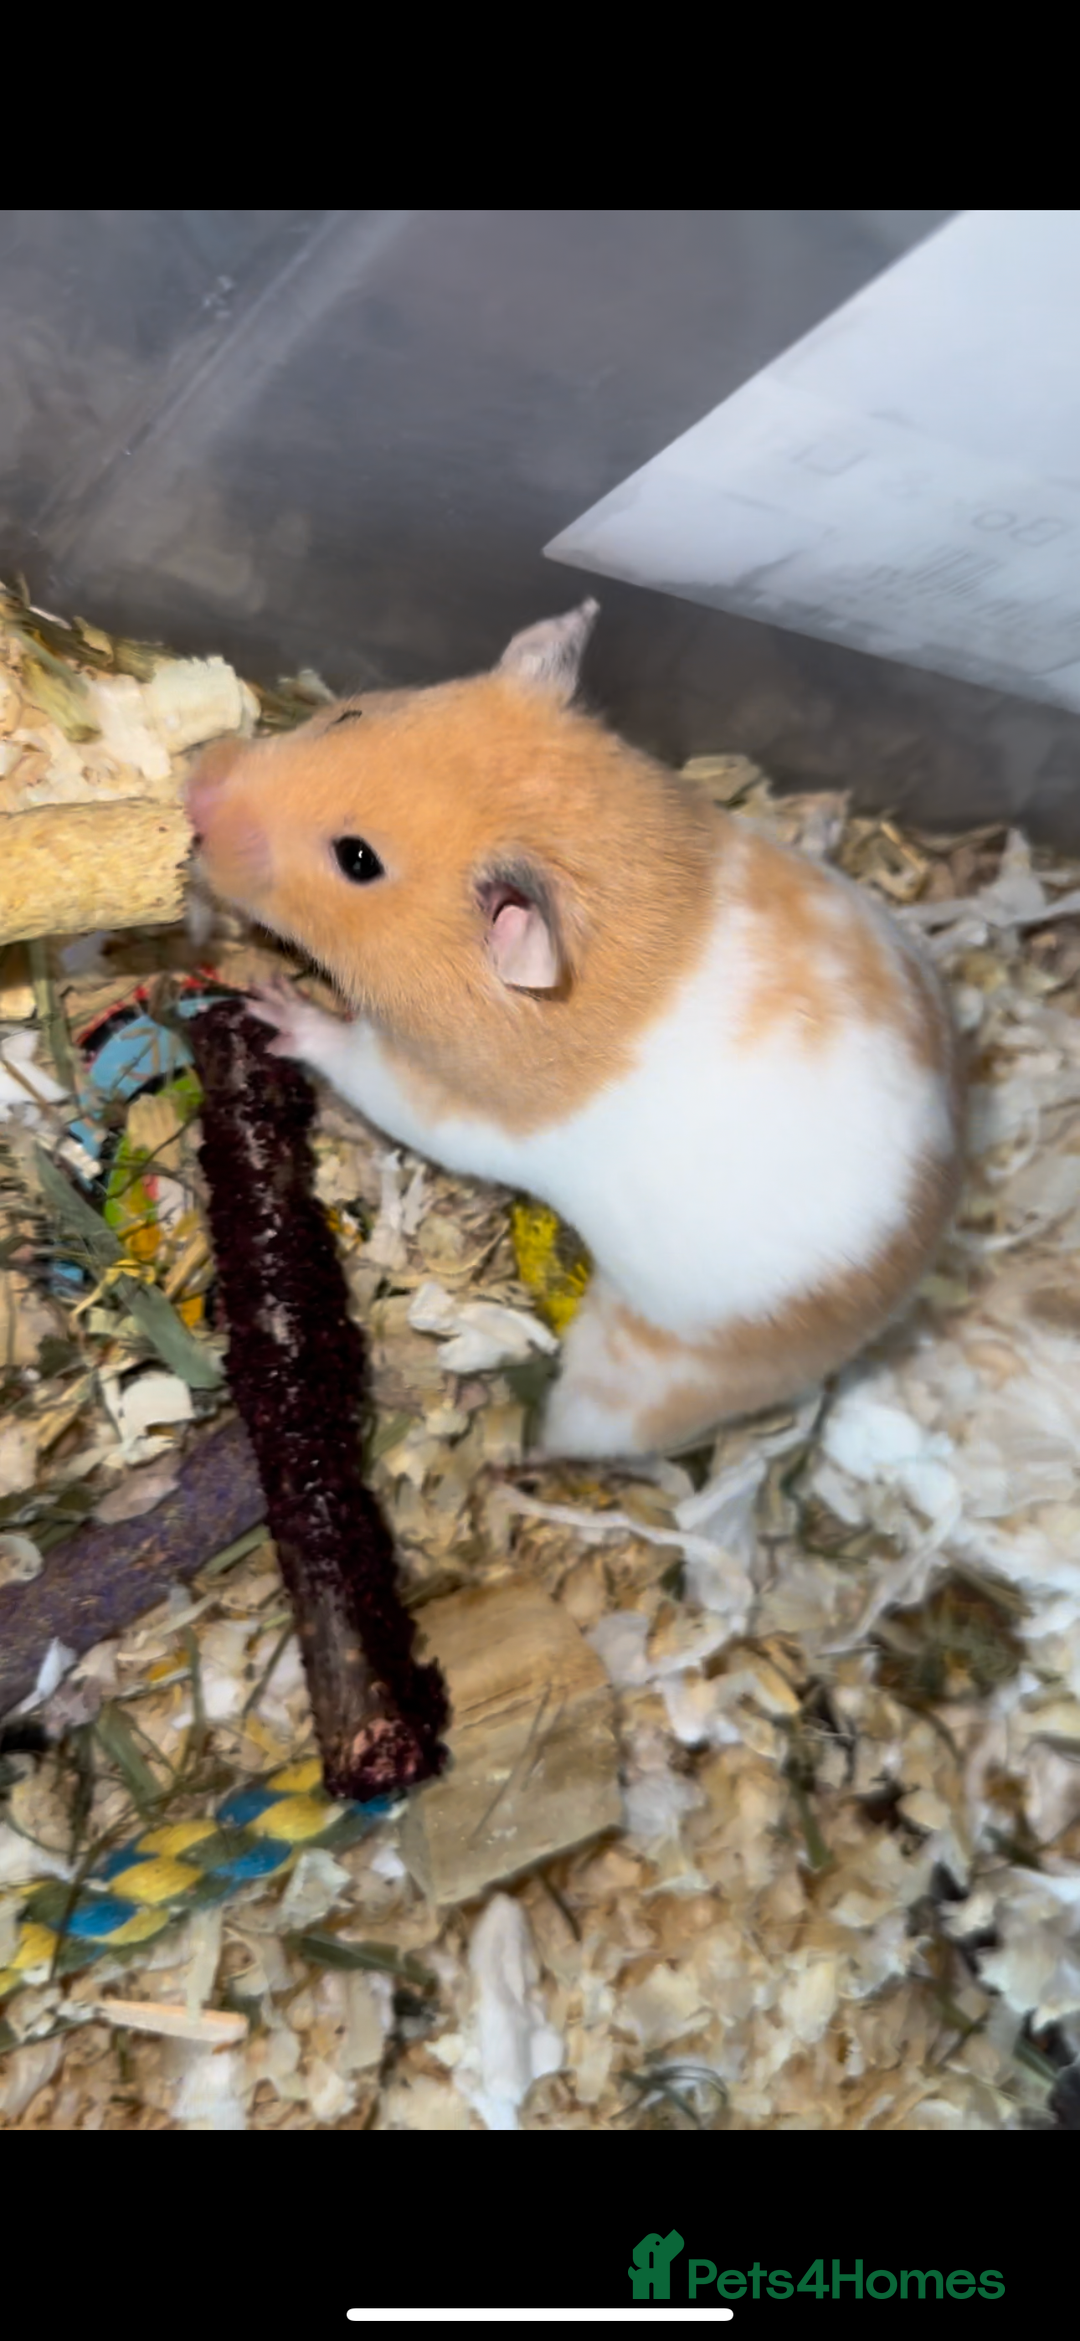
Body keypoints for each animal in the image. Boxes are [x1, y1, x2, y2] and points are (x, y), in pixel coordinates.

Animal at [186, 600, 964, 1462]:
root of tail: (901, 1285)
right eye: (348, 715)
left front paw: (273, 1002)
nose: (194, 794)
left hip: (634, 1371)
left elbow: (353, 1058)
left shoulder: (442, 1100)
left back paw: (531, 1450)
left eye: (357, 859)